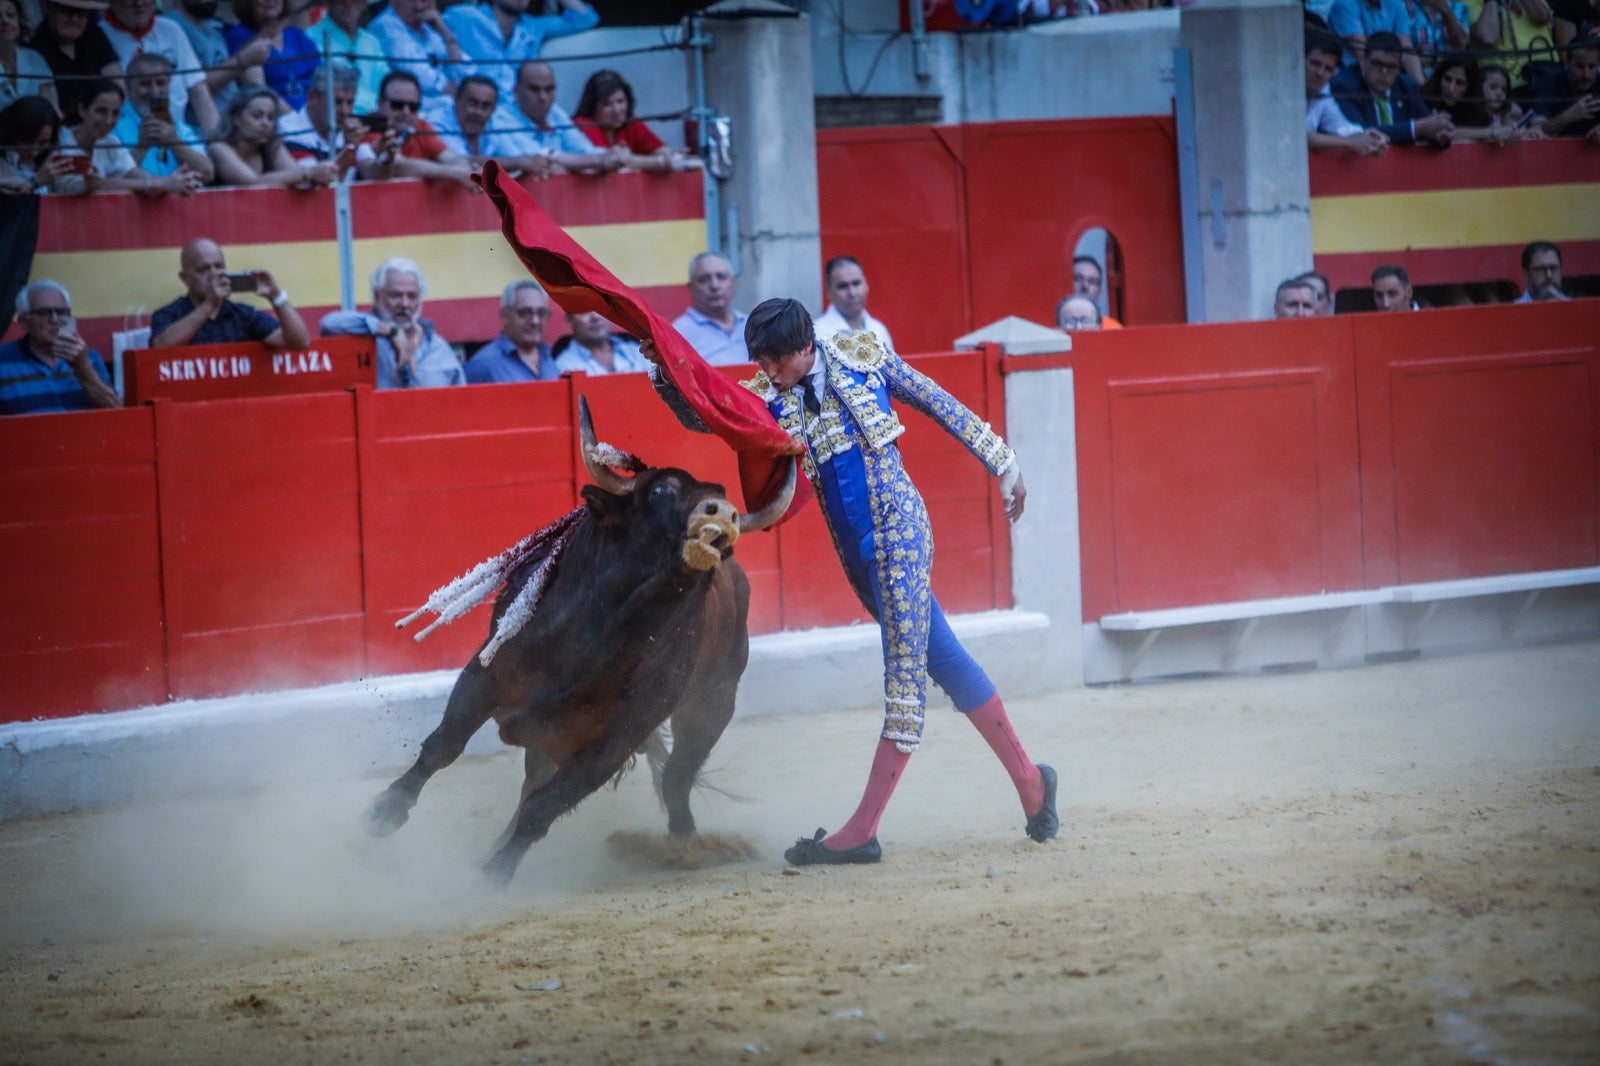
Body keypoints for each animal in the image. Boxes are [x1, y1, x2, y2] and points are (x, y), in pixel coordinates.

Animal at [360, 393, 790, 883]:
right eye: (660, 491)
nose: (722, 513)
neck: (599, 641)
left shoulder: (614, 742)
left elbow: (545, 808)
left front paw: (495, 876)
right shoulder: (484, 676)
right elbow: (443, 746)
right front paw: (382, 815)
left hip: (712, 706)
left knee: (675, 779)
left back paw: (684, 847)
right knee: (536, 780)